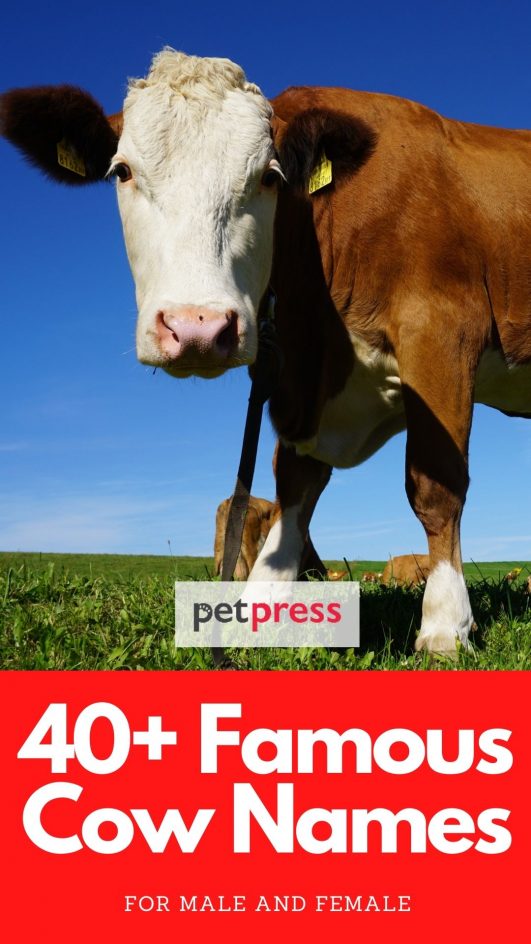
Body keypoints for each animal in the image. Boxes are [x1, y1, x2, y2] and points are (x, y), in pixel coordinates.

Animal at [2, 48, 531, 654]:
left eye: (269, 177)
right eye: (123, 171)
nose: (197, 328)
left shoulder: (441, 332)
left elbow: (435, 484)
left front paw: (446, 624)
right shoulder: (301, 383)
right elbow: (293, 487)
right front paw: (259, 605)